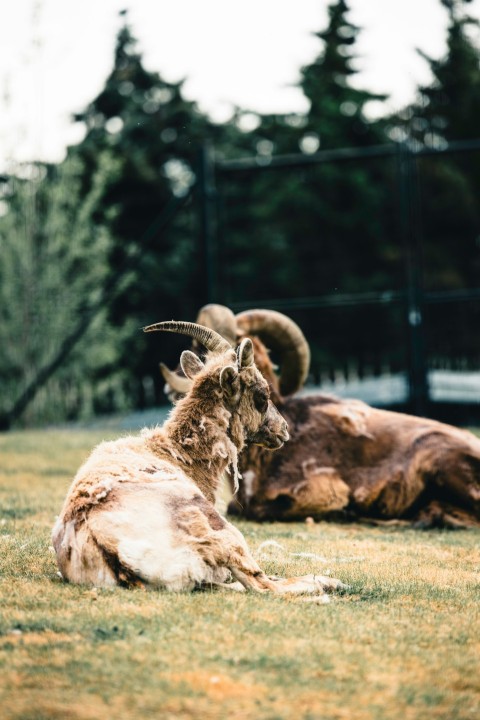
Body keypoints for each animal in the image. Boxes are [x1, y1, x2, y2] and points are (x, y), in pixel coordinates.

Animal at [51, 320, 344, 596]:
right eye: (262, 395)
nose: (283, 430)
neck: (176, 453)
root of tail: (111, 550)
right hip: (221, 532)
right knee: (262, 585)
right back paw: (328, 583)